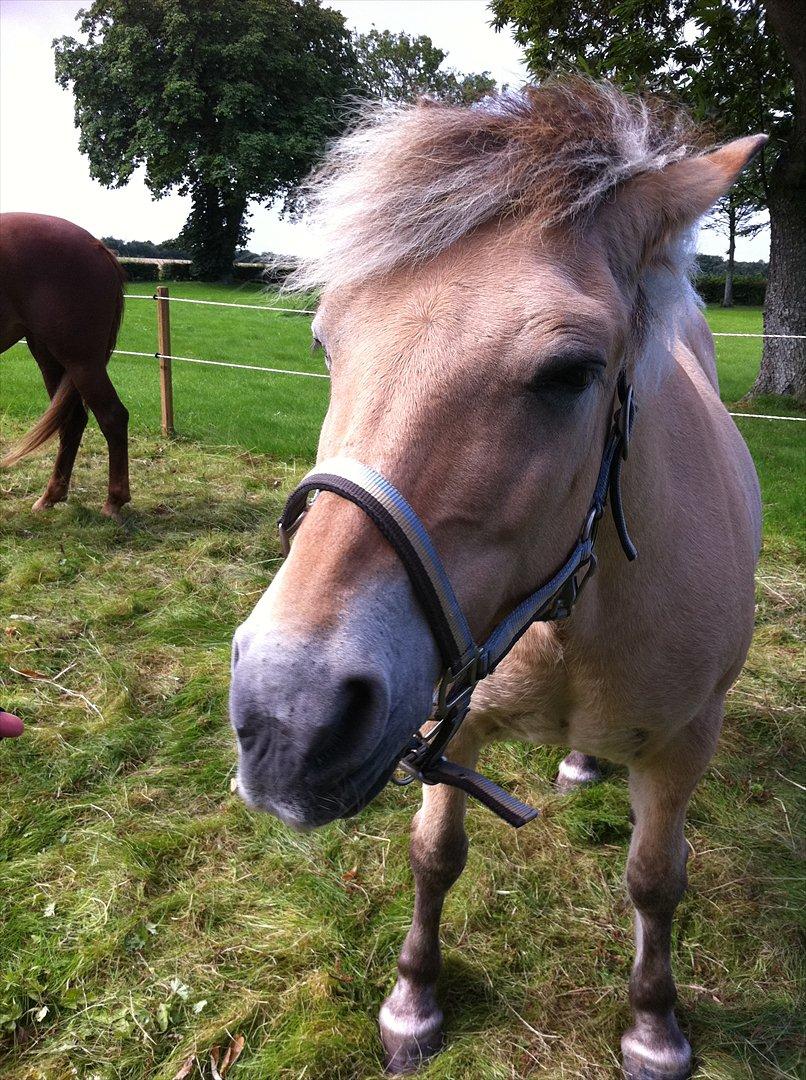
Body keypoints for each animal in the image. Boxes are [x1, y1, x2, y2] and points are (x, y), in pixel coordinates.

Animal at [0, 212, 128, 516]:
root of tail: (97, 246)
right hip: (50, 358)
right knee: (73, 421)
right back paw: (51, 496)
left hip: (82, 361)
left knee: (113, 416)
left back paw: (113, 503)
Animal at [229, 84, 764, 1080]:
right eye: (325, 343)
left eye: (571, 372)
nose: (286, 718)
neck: (569, 616)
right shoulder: (453, 723)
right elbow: (434, 856)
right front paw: (413, 1002)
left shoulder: (684, 744)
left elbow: (654, 879)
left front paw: (653, 1025)